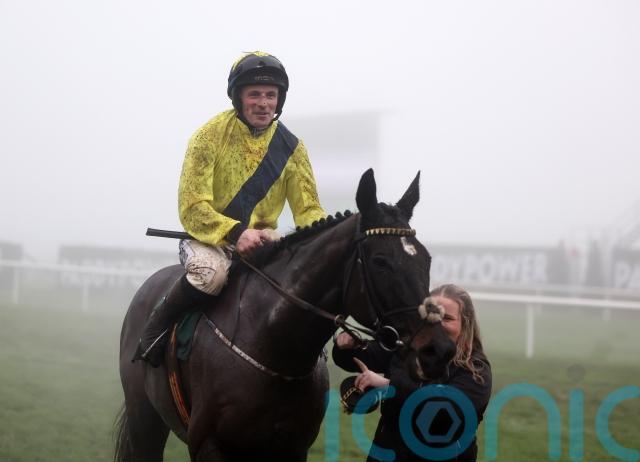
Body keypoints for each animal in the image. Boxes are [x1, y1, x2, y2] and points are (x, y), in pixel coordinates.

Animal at [115, 169, 439, 462]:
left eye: (427, 259)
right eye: (380, 261)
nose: (434, 349)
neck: (273, 345)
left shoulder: (292, 447)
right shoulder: (209, 444)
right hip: (144, 419)